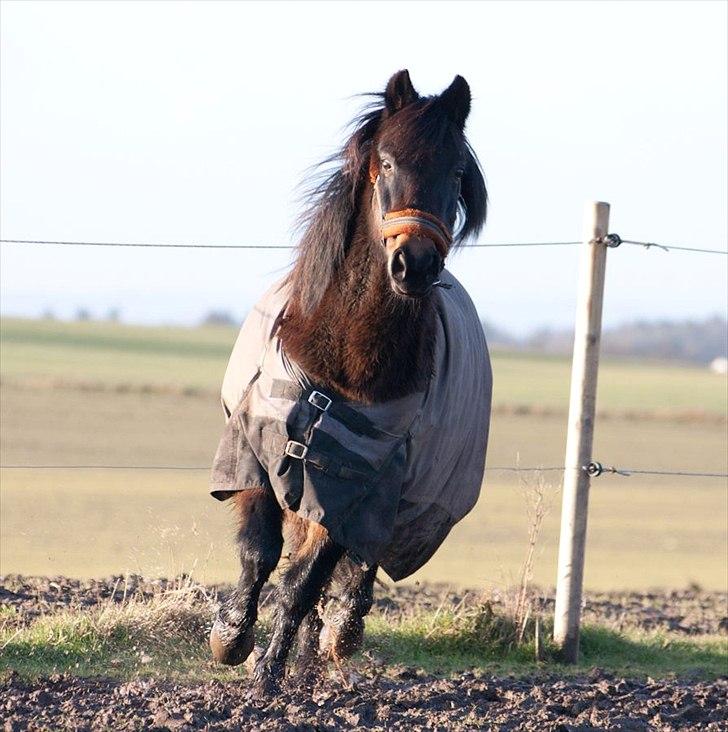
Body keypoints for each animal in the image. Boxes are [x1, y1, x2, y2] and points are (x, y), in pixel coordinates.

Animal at [208, 68, 492, 696]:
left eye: (456, 172)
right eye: (385, 161)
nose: (415, 265)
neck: (341, 364)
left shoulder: (355, 488)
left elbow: (304, 581)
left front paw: (269, 675)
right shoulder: (255, 457)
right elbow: (257, 555)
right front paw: (230, 637)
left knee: (347, 573)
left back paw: (333, 641)